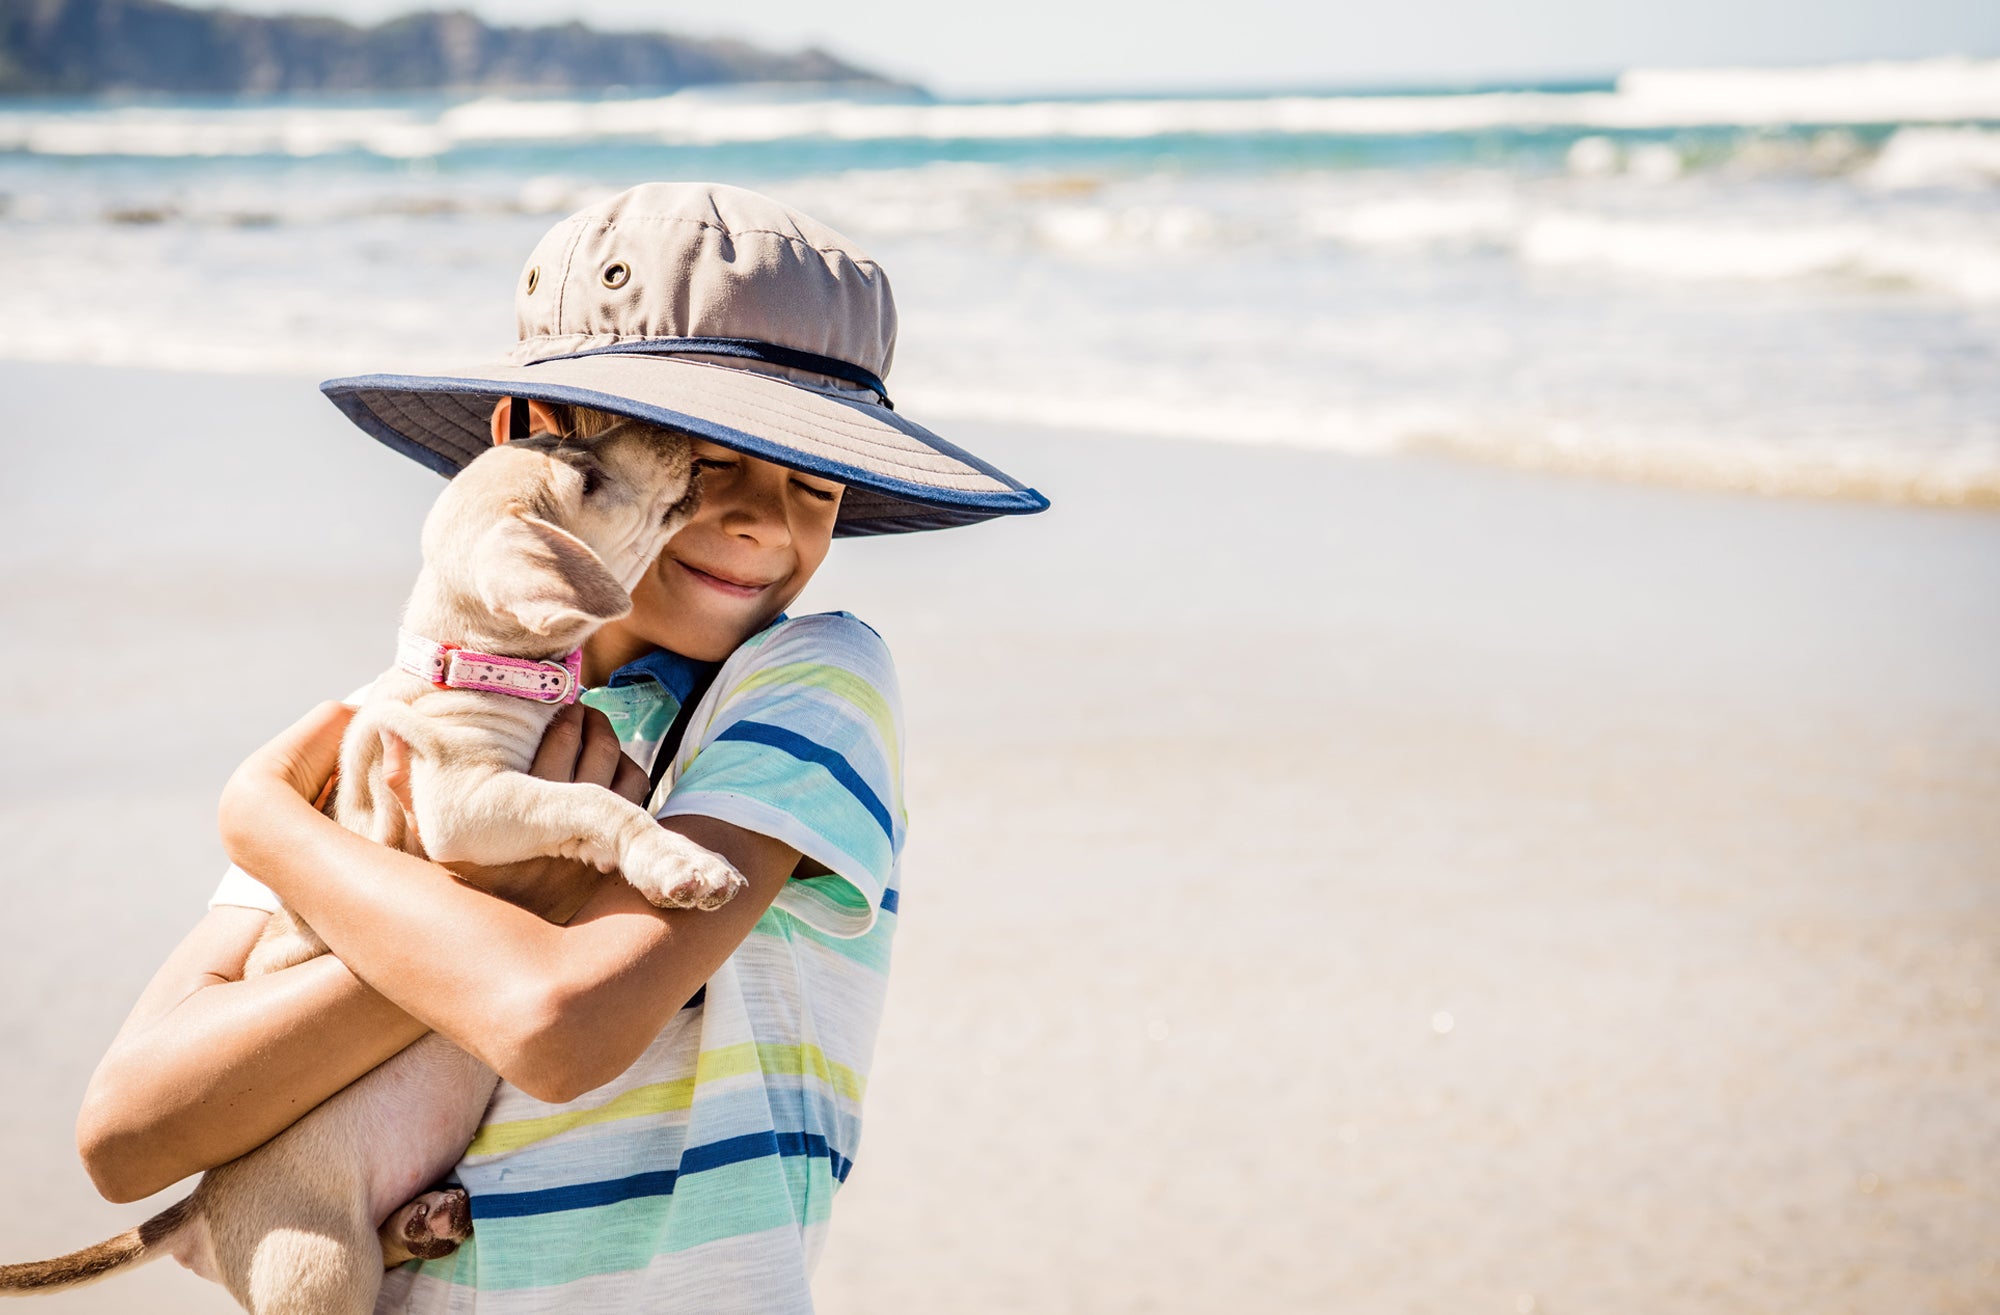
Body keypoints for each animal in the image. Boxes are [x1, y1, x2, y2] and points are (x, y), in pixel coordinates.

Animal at [3, 421, 748, 1311]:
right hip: (325, 1267)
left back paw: (427, 1221)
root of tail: (198, 1208)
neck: (472, 659)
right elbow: (597, 803)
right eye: (589, 481)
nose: (675, 435)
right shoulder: (463, 802)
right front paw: (680, 859)